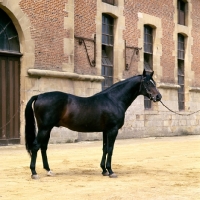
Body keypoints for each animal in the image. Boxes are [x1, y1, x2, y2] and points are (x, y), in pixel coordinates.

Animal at [25, 69, 162, 179]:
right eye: (147, 83)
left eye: (154, 83)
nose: (158, 97)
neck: (114, 100)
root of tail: (39, 96)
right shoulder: (113, 130)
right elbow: (110, 149)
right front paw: (111, 171)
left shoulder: (106, 131)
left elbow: (105, 148)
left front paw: (104, 170)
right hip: (44, 128)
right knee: (36, 146)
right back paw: (34, 173)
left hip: (47, 129)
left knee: (43, 147)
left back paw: (48, 170)